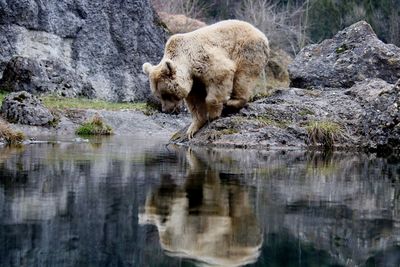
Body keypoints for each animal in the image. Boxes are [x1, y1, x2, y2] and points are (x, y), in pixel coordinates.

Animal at [142, 19, 270, 138]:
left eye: (166, 94)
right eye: (158, 96)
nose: (165, 110)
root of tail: (260, 33)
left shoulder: (202, 59)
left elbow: (220, 75)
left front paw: (214, 114)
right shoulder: (194, 81)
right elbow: (195, 102)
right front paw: (192, 129)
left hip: (246, 49)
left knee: (243, 76)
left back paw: (233, 101)